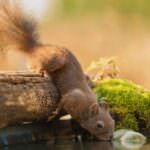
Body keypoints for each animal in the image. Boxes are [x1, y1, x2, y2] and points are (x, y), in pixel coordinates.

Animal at [0, 0, 115, 140]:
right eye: (99, 125)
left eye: (113, 121)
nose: (110, 137)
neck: (86, 107)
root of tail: (36, 48)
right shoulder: (73, 97)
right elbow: (62, 102)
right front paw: (54, 113)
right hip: (56, 60)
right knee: (36, 65)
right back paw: (41, 71)